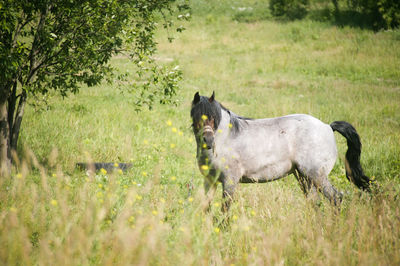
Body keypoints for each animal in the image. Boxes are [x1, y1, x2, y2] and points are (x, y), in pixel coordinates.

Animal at [191, 91, 372, 212]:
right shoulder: (210, 181)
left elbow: (224, 211)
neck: (226, 138)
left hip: (316, 176)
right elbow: (206, 207)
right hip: (304, 178)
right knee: (315, 203)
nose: (208, 141)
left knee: (335, 198)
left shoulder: (230, 181)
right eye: (196, 116)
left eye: (213, 117)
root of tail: (328, 127)